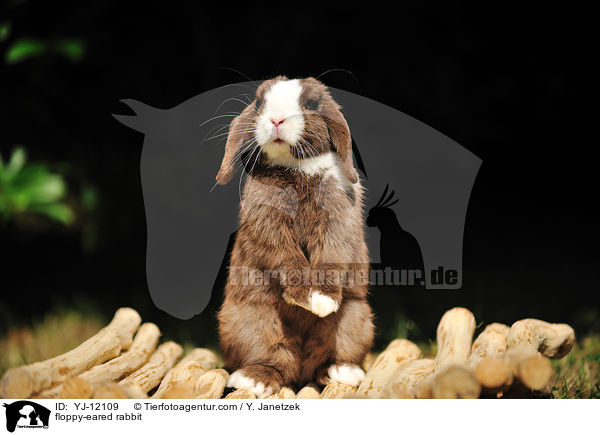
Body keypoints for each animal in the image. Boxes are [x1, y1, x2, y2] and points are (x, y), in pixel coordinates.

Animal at [216, 76, 376, 398]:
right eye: (260, 102)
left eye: (311, 104)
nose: (276, 119)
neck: (297, 168)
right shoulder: (269, 225)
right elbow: (286, 258)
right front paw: (306, 298)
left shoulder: (338, 219)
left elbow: (333, 254)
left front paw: (322, 301)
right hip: (247, 321)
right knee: (274, 359)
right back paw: (255, 380)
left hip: (357, 319)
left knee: (327, 357)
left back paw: (341, 371)